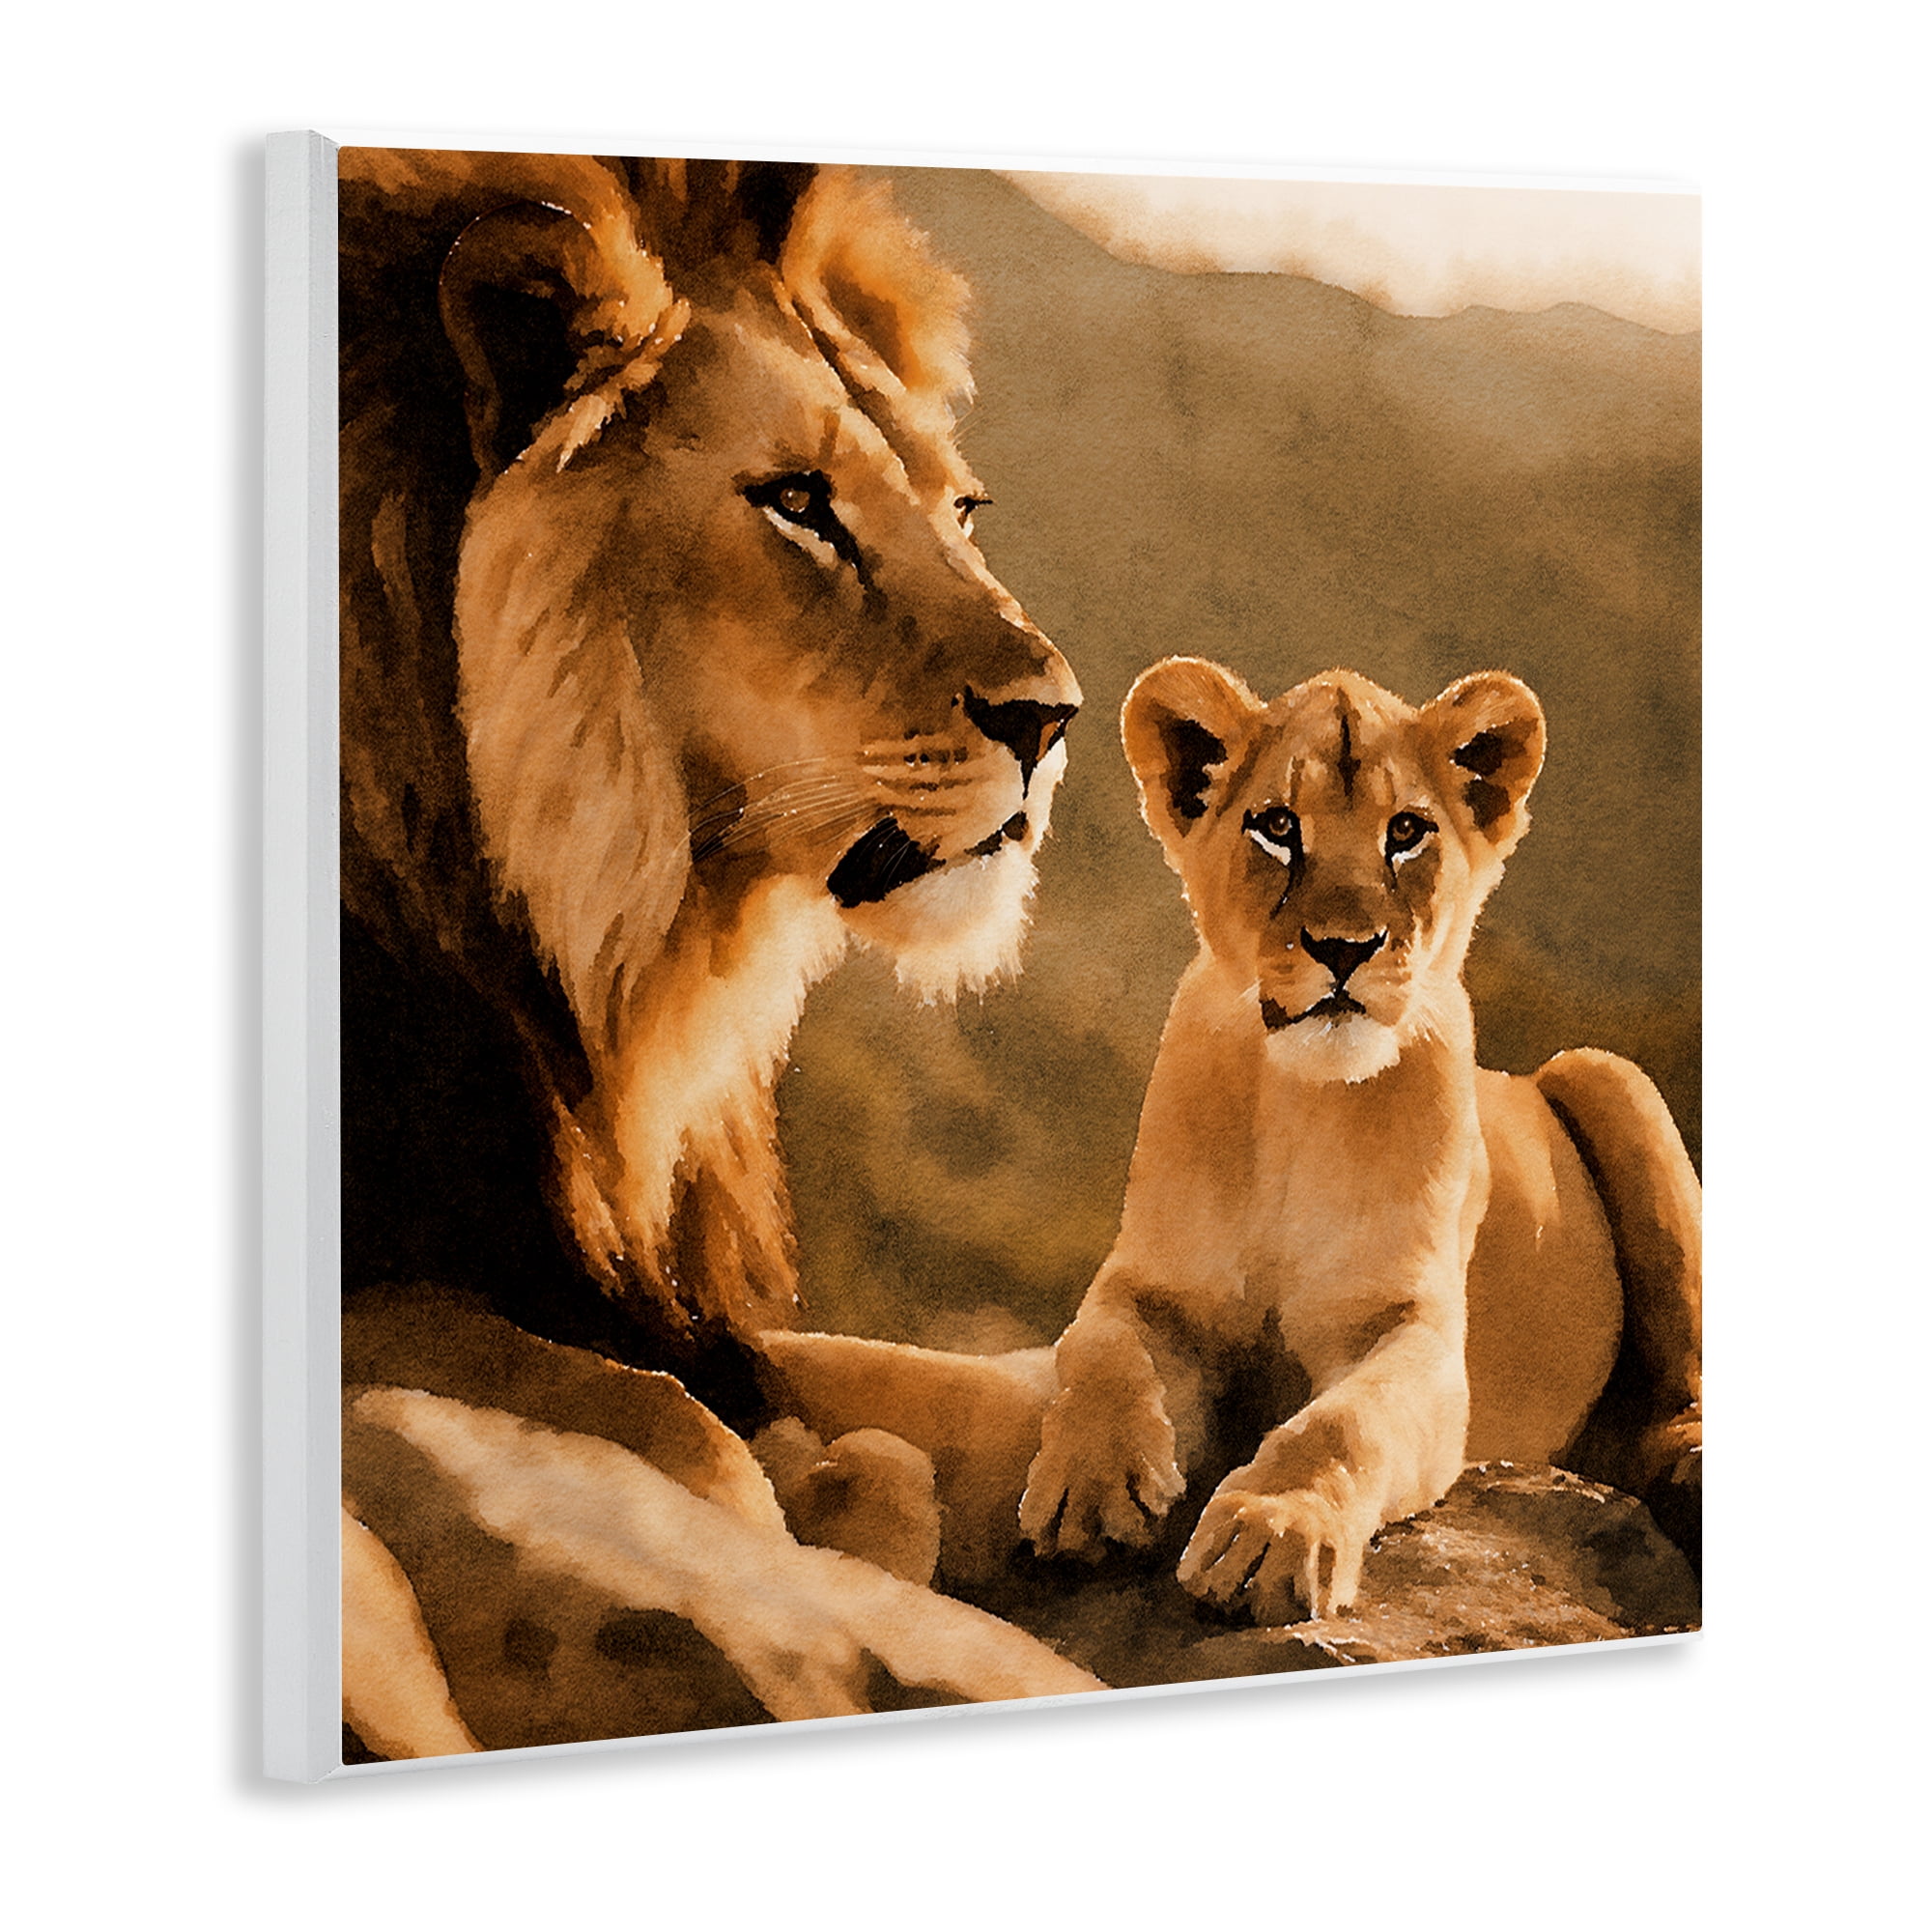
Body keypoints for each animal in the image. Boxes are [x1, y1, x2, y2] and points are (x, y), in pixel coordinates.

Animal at [336, 150, 1096, 1753]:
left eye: (962, 507)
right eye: (798, 503)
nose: (1054, 718)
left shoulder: (649, 1288)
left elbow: (960, 1390)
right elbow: (677, 1430)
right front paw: (825, 1517)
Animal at [1016, 658, 1702, 1625]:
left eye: (1406, 832)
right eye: (1276, 827)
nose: (1345, 947)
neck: (1304, 1106)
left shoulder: (1414, 1332)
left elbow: (1338, 1425)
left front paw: (1270, 1532)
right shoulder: (1151, 1283)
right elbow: (1101, 1352)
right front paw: (1089, 1486)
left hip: (1607, 1073)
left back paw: (1690, 1462)